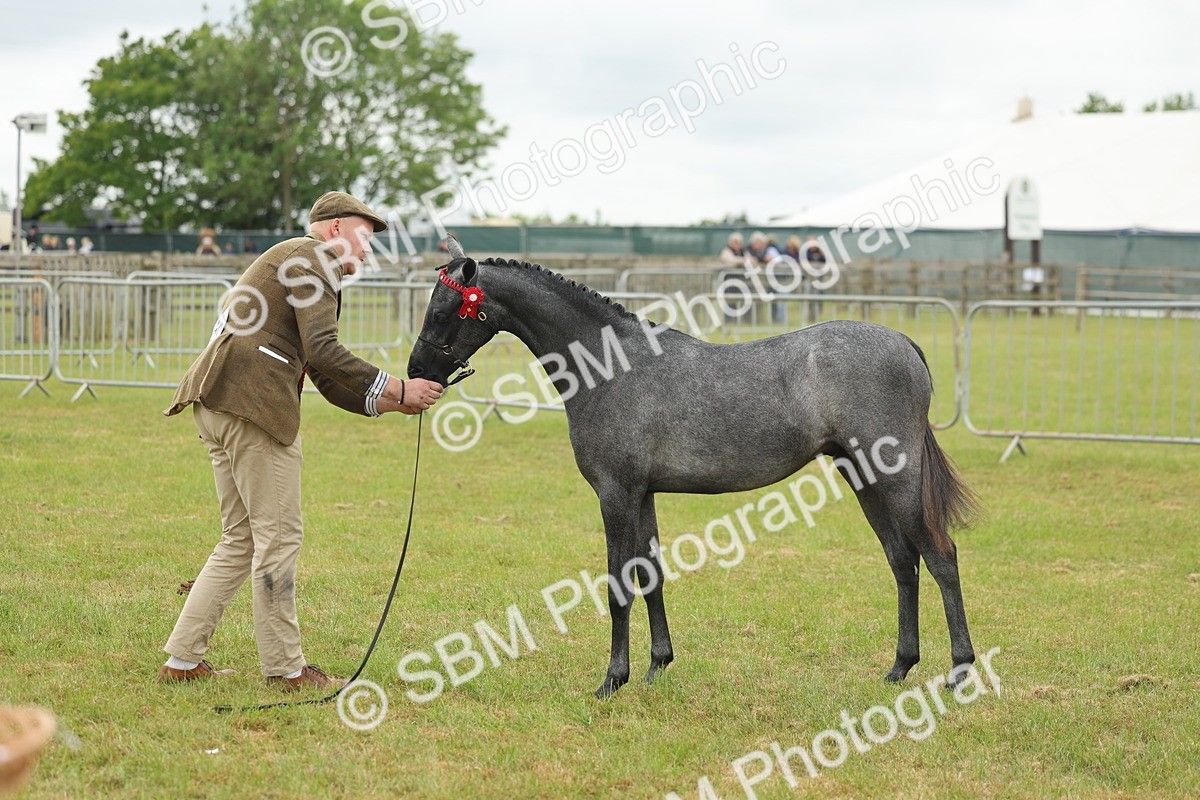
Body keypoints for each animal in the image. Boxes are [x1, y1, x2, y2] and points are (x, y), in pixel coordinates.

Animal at [407, 239, 978, 698]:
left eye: (444, 310)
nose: (416, 372)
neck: (611, 367)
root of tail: (905, 344)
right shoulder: (642, 494)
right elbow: (650, 574)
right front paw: (656, 667)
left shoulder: (615, 493)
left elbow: (618, 585)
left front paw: (612, 679)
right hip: (862, 477)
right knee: (902, 561)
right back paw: (899, 668)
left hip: (896, 478)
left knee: (940, 556)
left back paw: (959, 671)